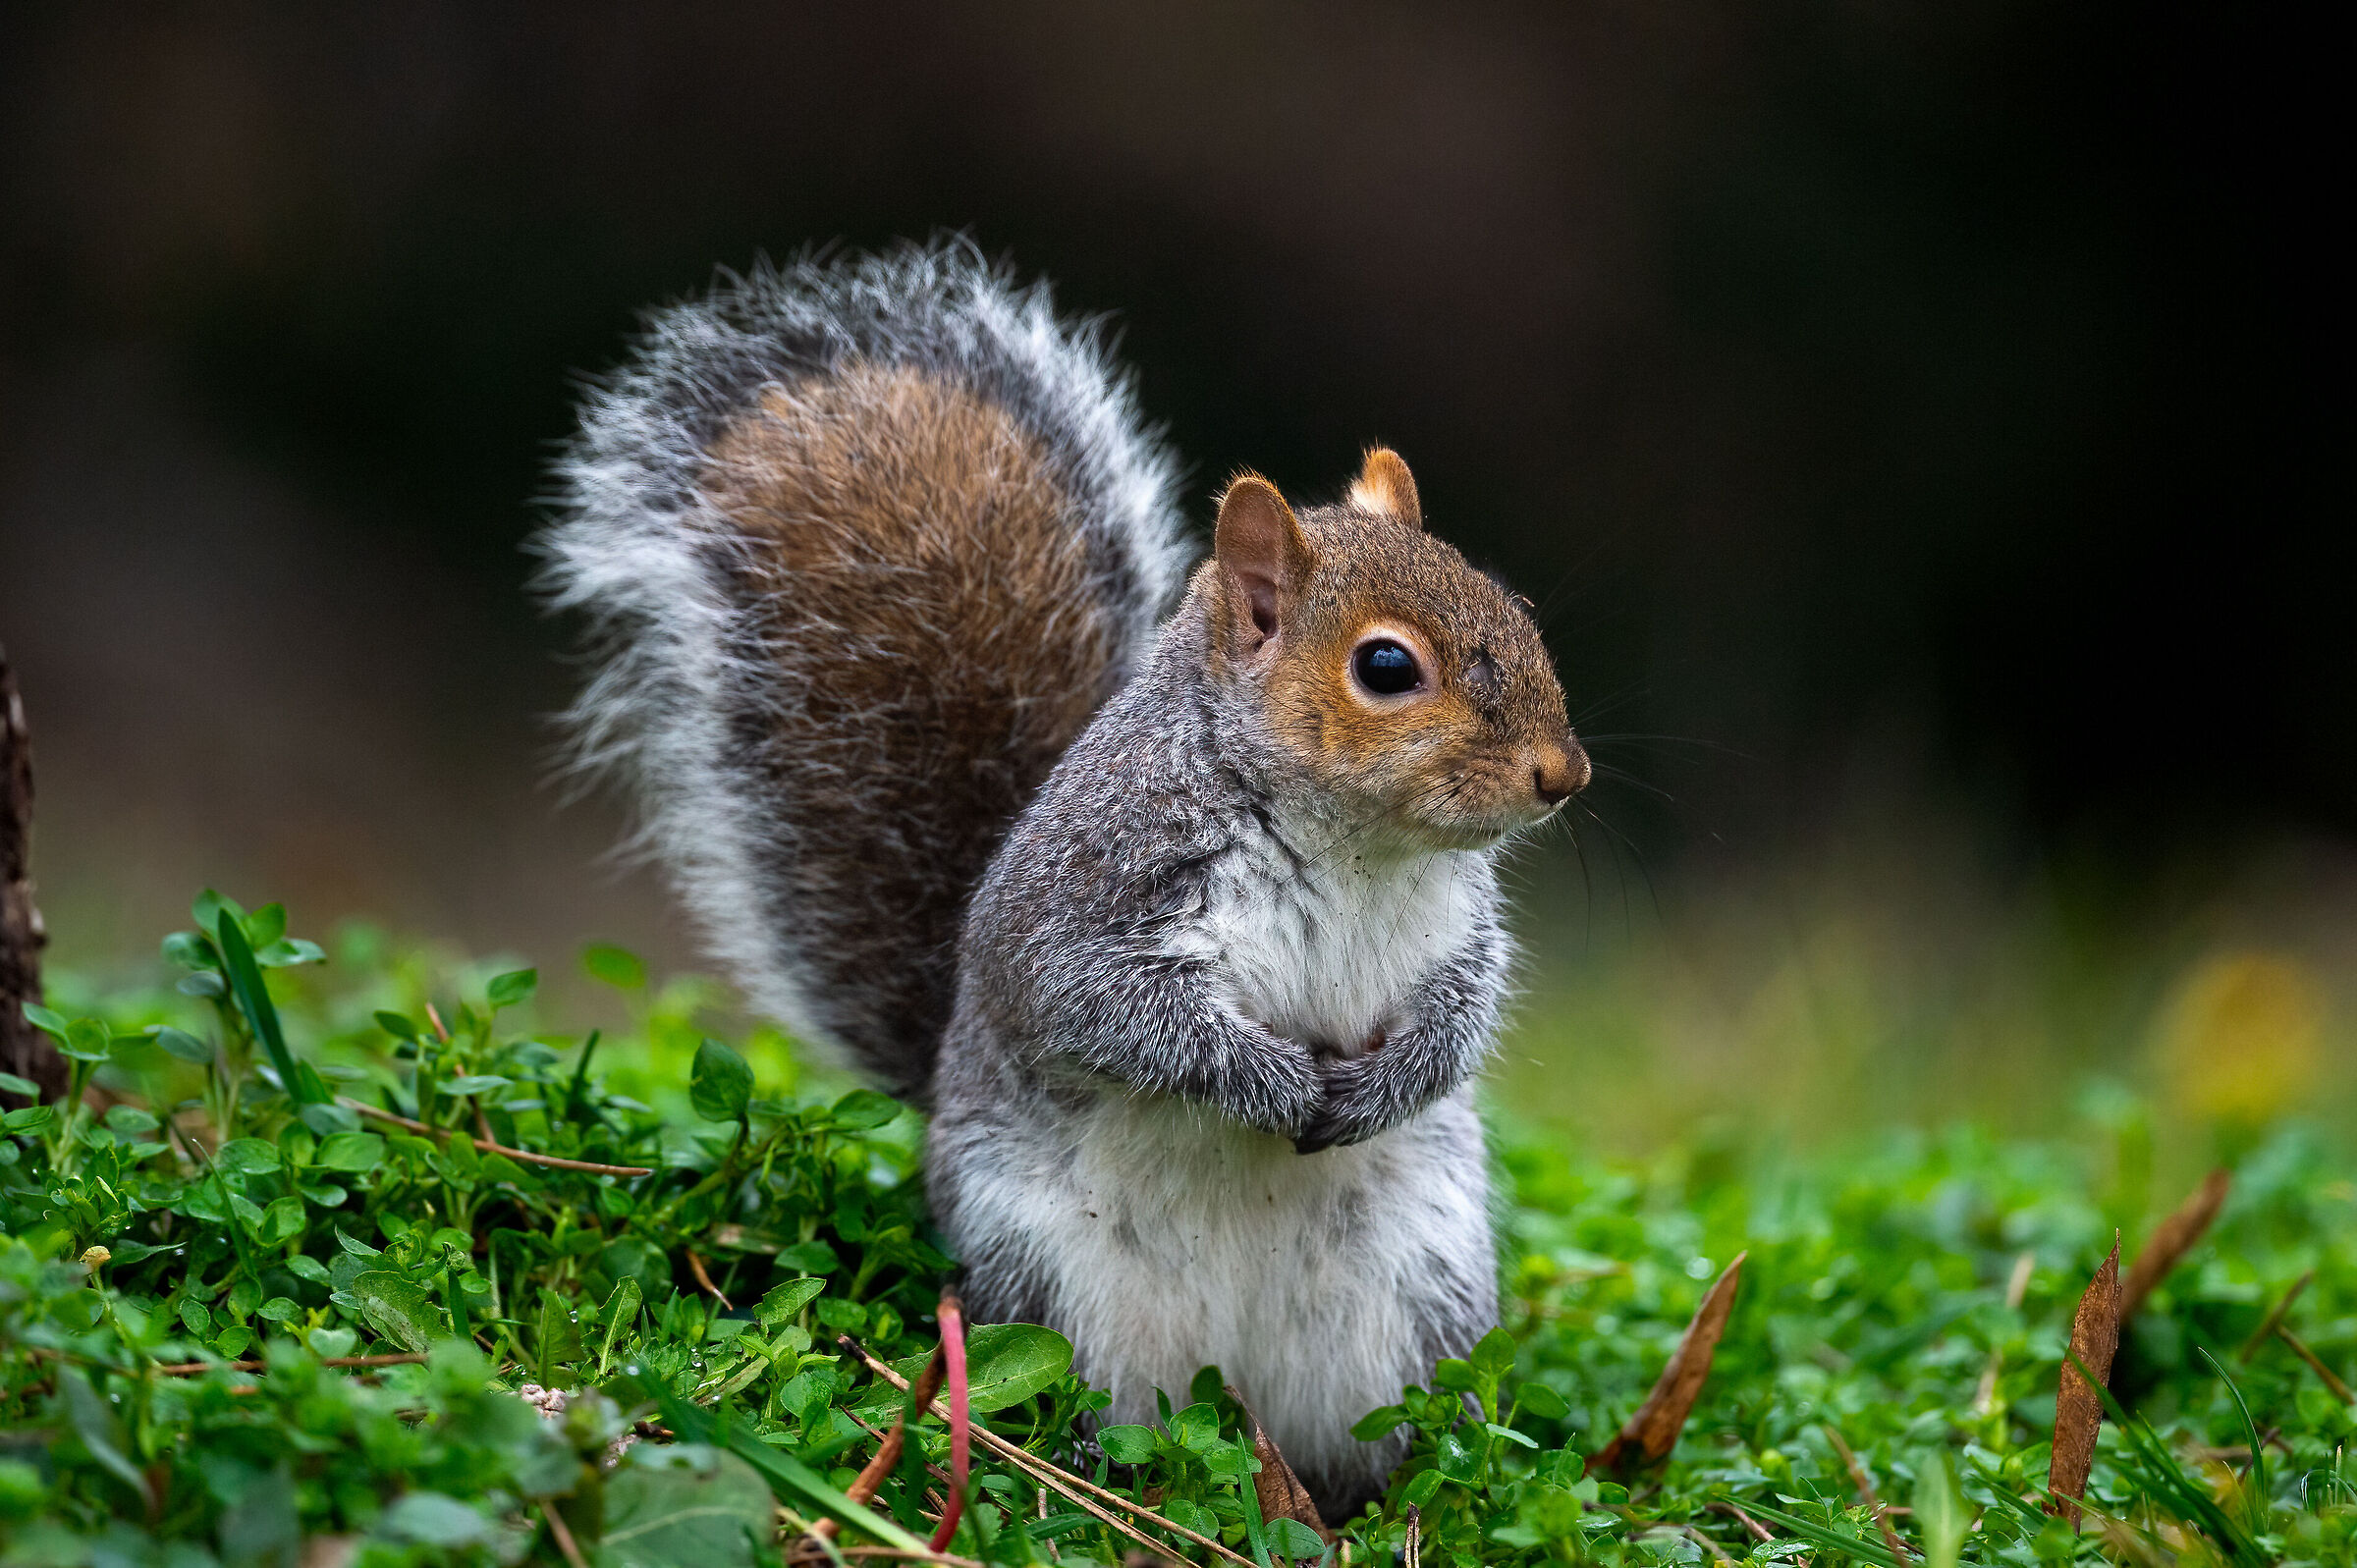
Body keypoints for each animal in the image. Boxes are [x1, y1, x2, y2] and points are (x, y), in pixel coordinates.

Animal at [541, 241, 1587, 1516]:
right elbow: (1114, 1011)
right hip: (1054, 1288)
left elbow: (1460, 1010)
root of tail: (1243, 1393)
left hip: (1421, 1292)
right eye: (1387, 666)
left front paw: (1389, 1081)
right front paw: (1270, 1082)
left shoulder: (1456, 926)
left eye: (1519, 612)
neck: (1353, 843)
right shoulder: (1091, 897)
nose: (1563, 774)